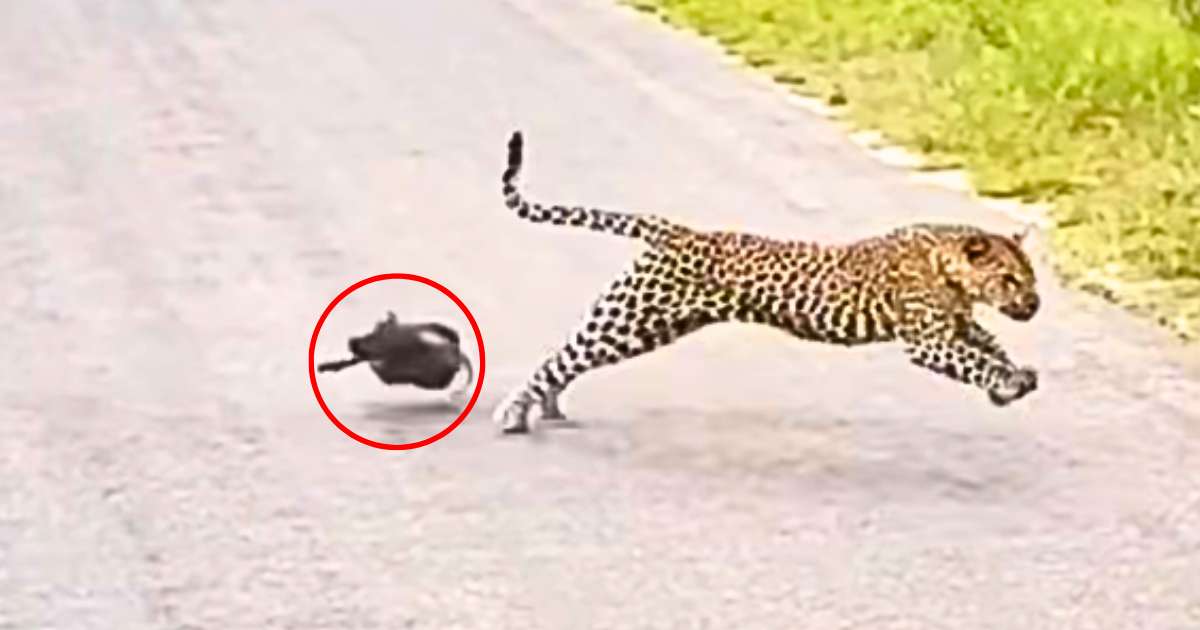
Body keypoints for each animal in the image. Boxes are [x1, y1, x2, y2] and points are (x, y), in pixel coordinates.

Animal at [493, 131, 1040, 434]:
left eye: (1031, 278)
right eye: (1010, 279)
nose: (1034, 305)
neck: (949, 266)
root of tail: (673, 229)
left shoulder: (956, 326)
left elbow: (990, 345)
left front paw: (1015, 379)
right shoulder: (928, 341)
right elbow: (975, 361)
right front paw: (1006, 382)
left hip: (654, 327)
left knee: (572, 359)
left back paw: (546, 406)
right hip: (631, 315)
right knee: (560, 356)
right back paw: (515, 412)